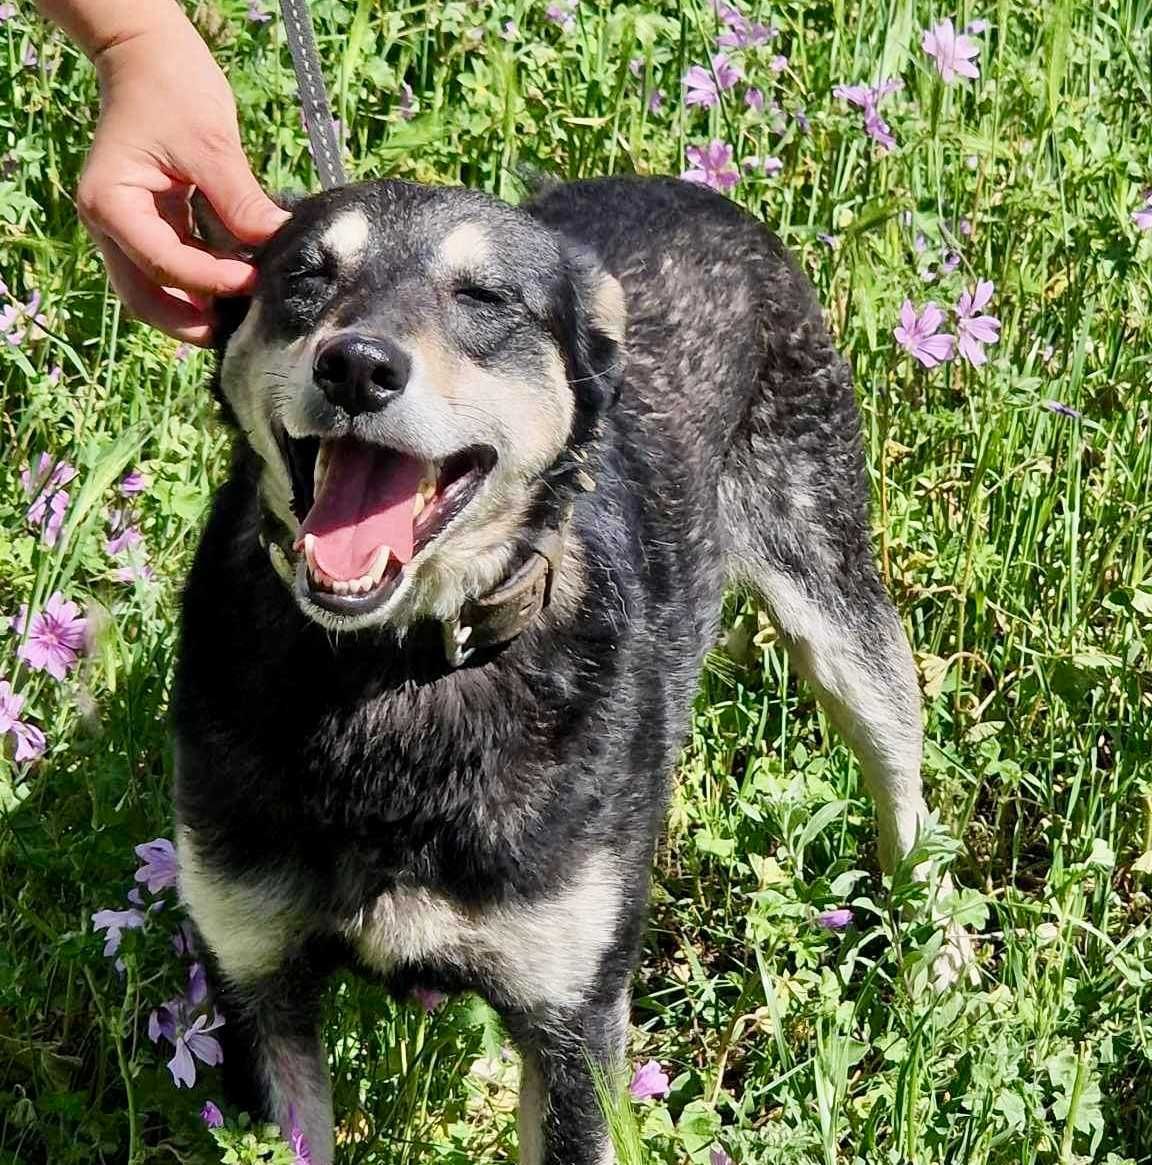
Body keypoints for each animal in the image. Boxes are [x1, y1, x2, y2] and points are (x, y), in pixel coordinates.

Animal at [173, 174, 955, 1165]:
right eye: (306, 275)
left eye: (484, 297)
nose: (356, 367)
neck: (399, 674)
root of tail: (691, 188)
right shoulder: (256, 982)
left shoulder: (572, 1019)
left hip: (836, 591)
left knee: (903, 789)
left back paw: (934, 955)